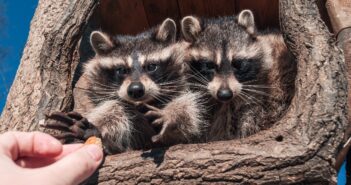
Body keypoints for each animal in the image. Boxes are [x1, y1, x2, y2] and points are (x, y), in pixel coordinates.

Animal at [43, 18, 206, 153]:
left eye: (151, 66)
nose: (136, 90)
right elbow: (113, 108)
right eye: (121, 70)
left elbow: (189, 109)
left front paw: (171, 116)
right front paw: (96, 130)